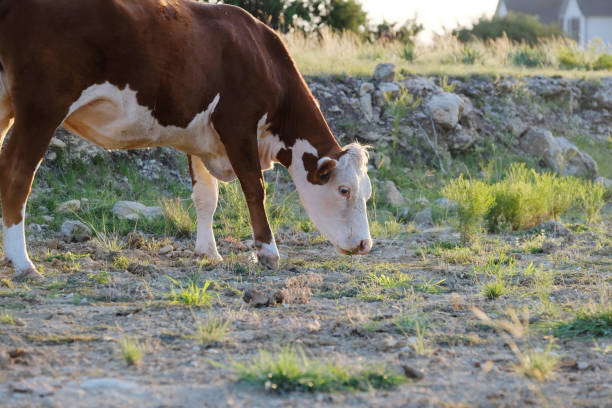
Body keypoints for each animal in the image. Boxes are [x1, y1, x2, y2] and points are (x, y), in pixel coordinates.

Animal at [0, 0, 372, 280]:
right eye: (344, 190)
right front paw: (268, 252)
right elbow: (254, 188)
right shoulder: (237, 124)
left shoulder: (201, 140)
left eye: (366, 193)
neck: (262, 55)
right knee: (17, 174)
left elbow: (206, 197)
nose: (366, 245)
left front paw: (208, 252)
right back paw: (23, 263)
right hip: (41, 106)